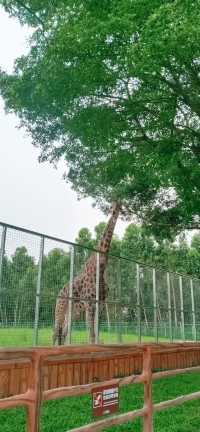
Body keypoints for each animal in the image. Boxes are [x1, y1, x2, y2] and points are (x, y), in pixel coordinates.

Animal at [52, 201, 121, 346]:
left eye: (120, 206)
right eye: (112, 206)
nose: (114, 213)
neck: (100, 267)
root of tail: (59, 293)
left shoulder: (100, 304)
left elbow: (96, 333)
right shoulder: (89, 303)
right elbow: (91, 334)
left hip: (73, 312)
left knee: (64, 332)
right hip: (60, 308)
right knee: (55, 332)